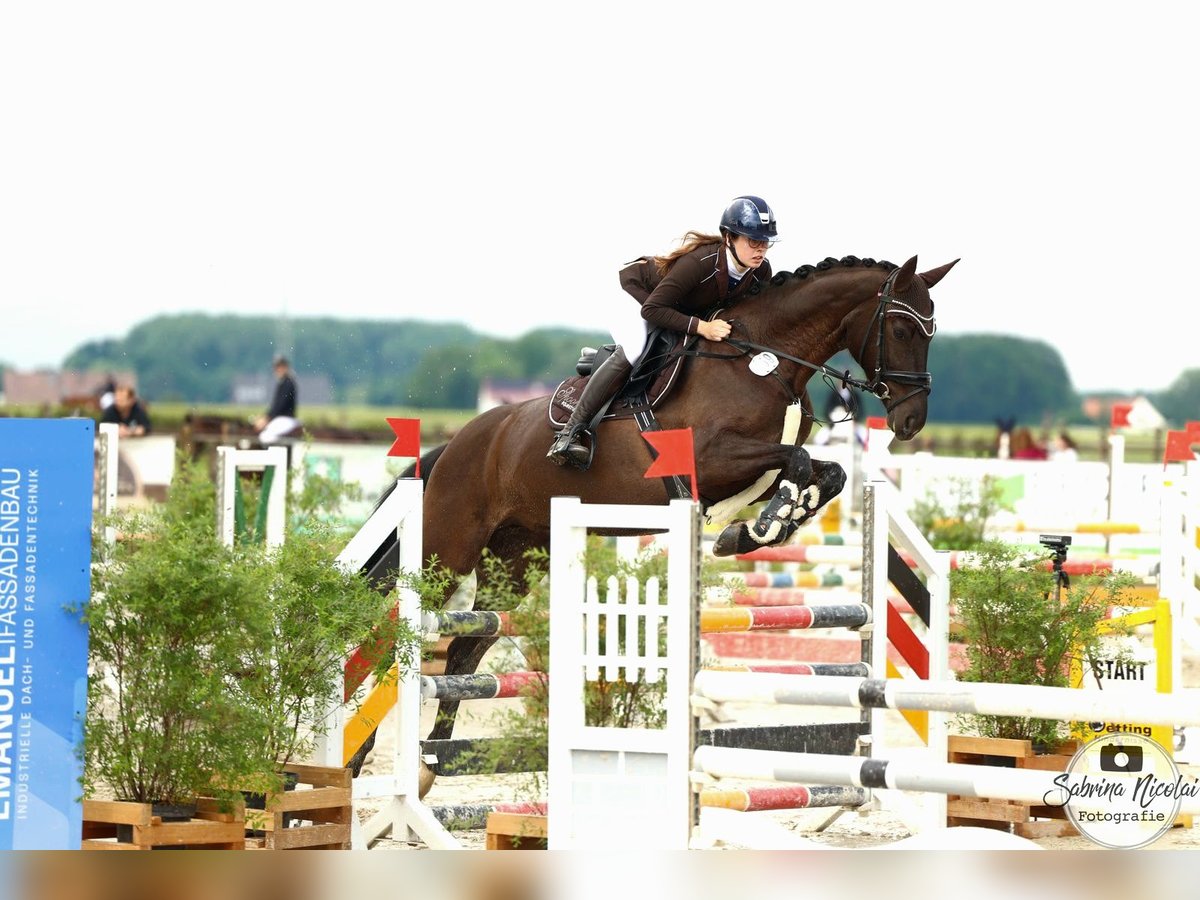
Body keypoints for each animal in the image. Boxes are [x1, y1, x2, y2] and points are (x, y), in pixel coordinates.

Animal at [348, 254, 955, 782]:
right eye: (903, 330)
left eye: (931, 332)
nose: (911, 421)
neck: (764, 363)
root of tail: (456, 444)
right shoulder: (710, 458)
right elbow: (799, 460)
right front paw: (760, 525)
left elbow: (827, 472)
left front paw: (757, 527)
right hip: (446, 549)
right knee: (402, 635)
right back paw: (362, 757)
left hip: (518, 560)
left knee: (466, 648)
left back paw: (435, 757)